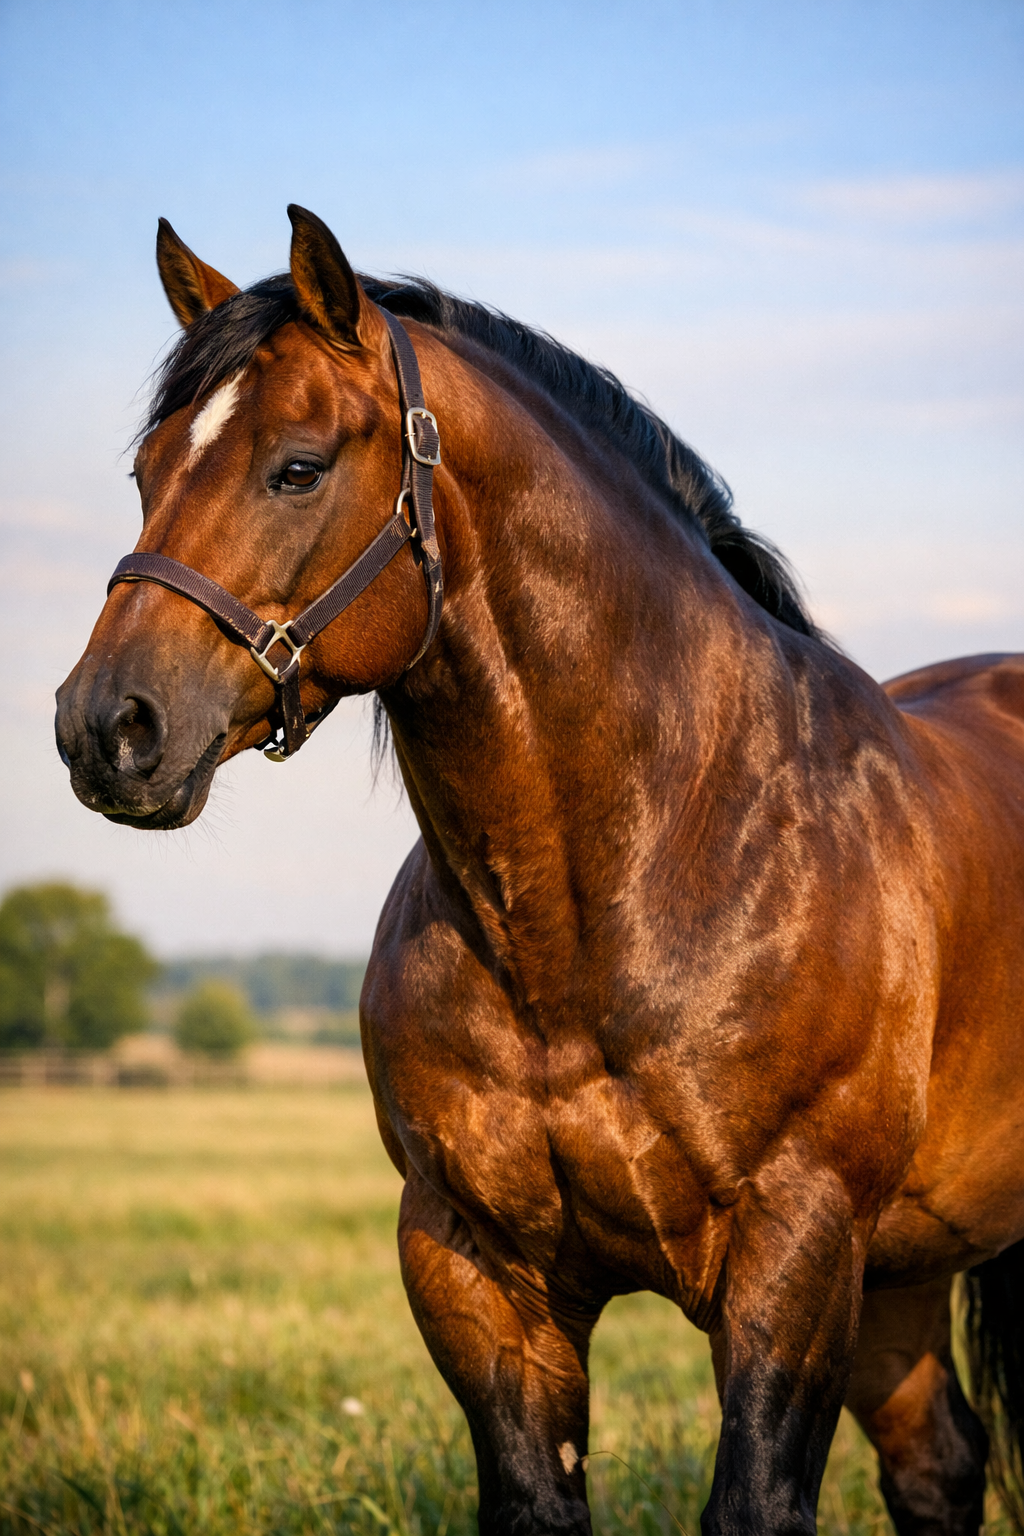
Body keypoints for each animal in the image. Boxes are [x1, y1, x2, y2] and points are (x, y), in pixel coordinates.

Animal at [56, 206, 1024, 1536]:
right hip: (907, 1269)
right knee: (937, 1461)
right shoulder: (476, 1268)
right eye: (148, 471)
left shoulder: (796, 1252)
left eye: (297, 467)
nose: (105, 728)